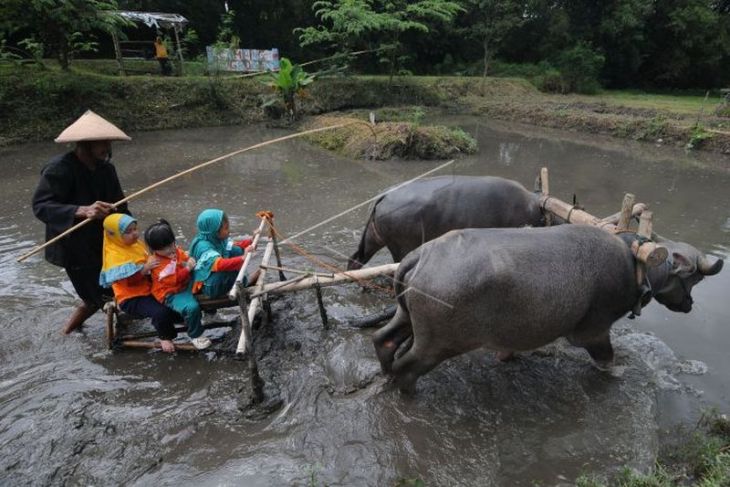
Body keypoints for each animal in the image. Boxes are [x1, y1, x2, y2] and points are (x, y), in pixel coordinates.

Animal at [372, 225, 720, 392]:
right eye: (694, 279)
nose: (689, 305)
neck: (636, 263)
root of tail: (421, 256)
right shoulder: (595, 332)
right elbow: (606, 360)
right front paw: (619, 372)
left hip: (405, 315)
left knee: (384, 340)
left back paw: (386, 373)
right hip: (438, 342)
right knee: (408, 366)